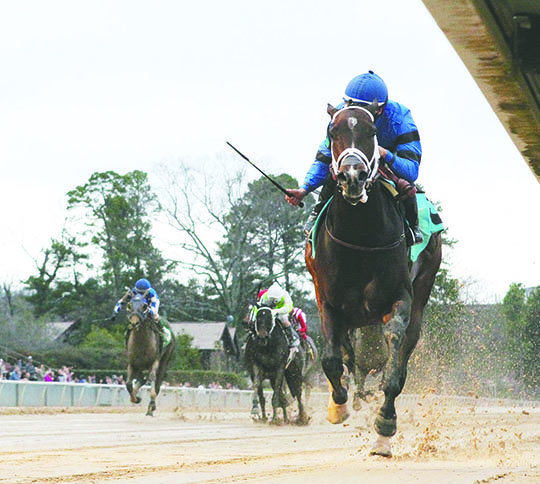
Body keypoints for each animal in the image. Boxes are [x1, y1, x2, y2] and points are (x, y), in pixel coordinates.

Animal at [306, 103, 440, 458]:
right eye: (333, 131)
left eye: (372, 132)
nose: (352, 177)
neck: (360, 235)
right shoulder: (328, 300)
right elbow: (332, 358)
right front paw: (338, 406)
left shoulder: (399, 298)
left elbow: (393, 360)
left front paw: (384, 427)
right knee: (349, 355)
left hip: (422, 287)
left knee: (404, 349)